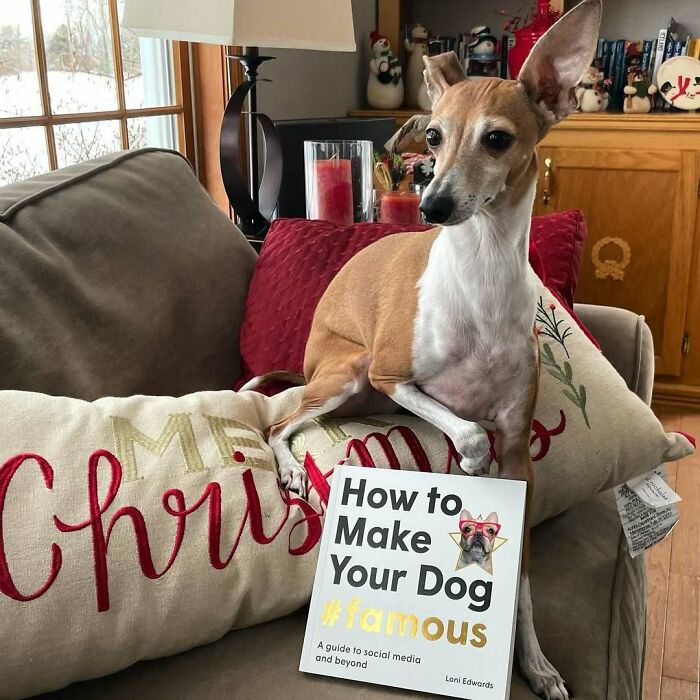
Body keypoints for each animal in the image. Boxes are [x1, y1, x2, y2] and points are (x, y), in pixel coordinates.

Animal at [242, 2, 600, 696]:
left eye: (497, 139)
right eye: (433, 137)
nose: (432, 205)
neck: (481, 273)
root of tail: (308, 360)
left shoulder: (520, 453)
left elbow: (522, 578)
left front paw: (535, 662)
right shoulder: (391, 374)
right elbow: (466, 431)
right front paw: (468, 455)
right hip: (349, 373)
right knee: (277, 423)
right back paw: (292, 469)